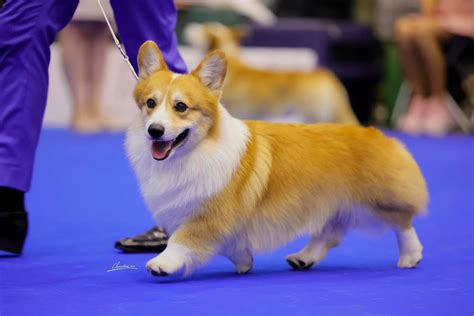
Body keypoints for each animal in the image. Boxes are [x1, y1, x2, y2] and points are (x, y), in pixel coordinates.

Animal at [127, 41, 430, 276]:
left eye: (181, 107)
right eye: (150, 103)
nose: (155, 130)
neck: (198, 149)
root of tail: (379, 135)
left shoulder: (209, 214)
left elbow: (182, 239)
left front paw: (163, 263)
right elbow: (231, 246)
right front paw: (244, 261)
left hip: (375, 202)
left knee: (403, 222)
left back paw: (410, 256)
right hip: (332, 204)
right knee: (328, 234)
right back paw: (303, 258)